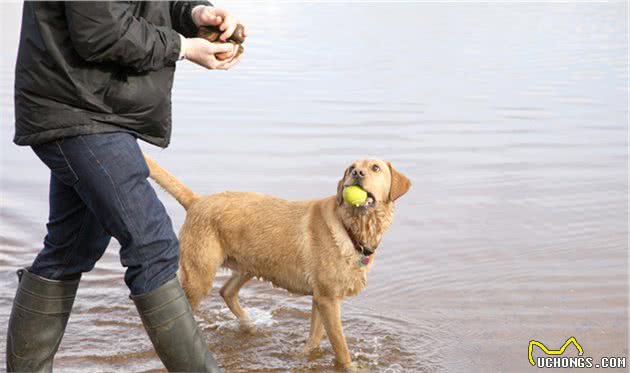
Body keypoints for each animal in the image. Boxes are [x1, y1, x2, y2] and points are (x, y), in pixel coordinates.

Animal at [143, 155, 412, 368]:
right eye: (350, 168)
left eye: (375, 167)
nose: (357, 174)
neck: (351, 227)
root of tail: (197, 201)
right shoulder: (327, 299)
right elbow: (341, 348)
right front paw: (351, 366)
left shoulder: (321, 298)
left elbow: (315, 339)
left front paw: (305, 355)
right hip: (199, 275)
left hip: (249, 263)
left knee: (226, 291)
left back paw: (250, 326)